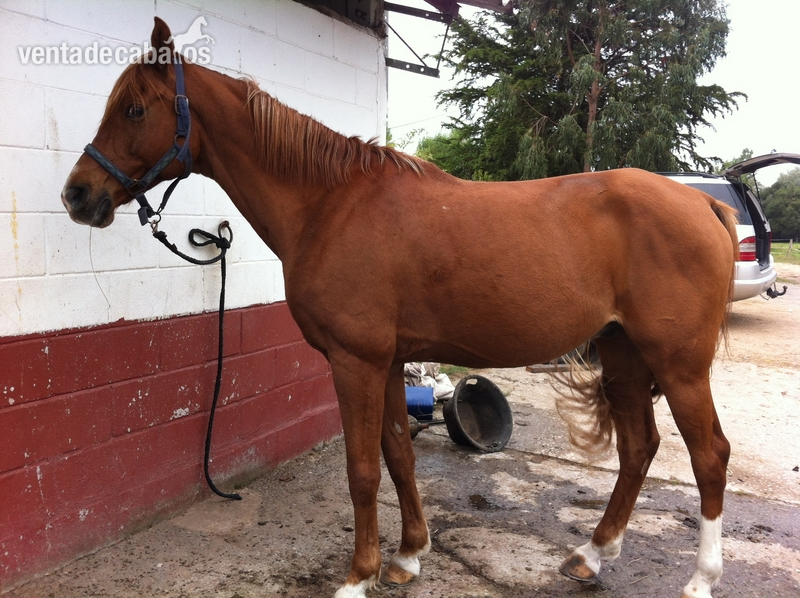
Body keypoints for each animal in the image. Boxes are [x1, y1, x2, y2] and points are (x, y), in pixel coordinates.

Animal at [61, 18, 738, 598]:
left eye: (135, 108)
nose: (78, 194)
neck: (330, 204)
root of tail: (704, 203)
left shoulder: (354, 361)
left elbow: (362, 468)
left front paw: (358, 575)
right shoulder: (386, 363)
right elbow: (398, 455)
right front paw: (409, 556)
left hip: (678, 364)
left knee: (709, 455)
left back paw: (701, 578)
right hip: (624, 355)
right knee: (639, 449)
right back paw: (592, 555)